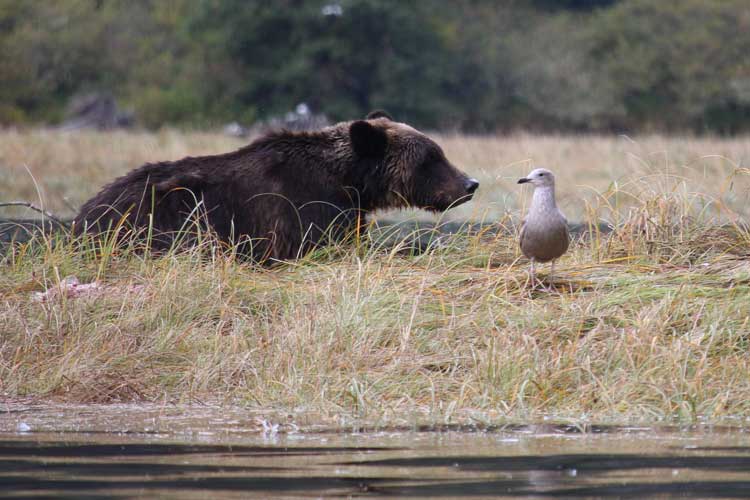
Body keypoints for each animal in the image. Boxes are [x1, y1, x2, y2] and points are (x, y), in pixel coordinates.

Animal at [73, 112, 478, 262]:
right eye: (431, 157)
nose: (470, 183)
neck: (352, 182)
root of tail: (83, 214)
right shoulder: (306, 208)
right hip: (157, 217)